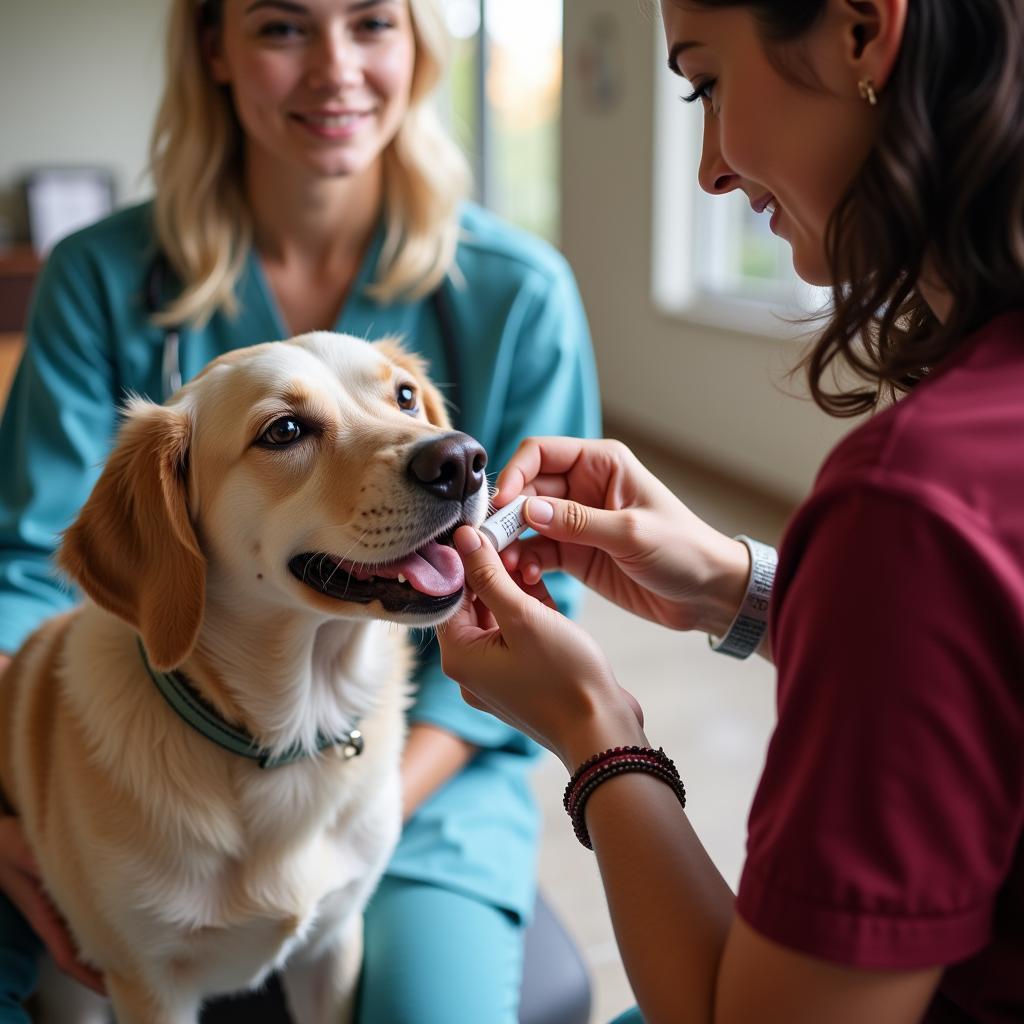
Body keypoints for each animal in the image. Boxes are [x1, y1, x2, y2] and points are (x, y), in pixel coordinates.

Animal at [0, 331, 491, 1019]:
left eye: (404, 397)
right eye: (283, 431)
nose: (462, 459)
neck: (289, 734)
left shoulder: (333, 946)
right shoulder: (149, 986)